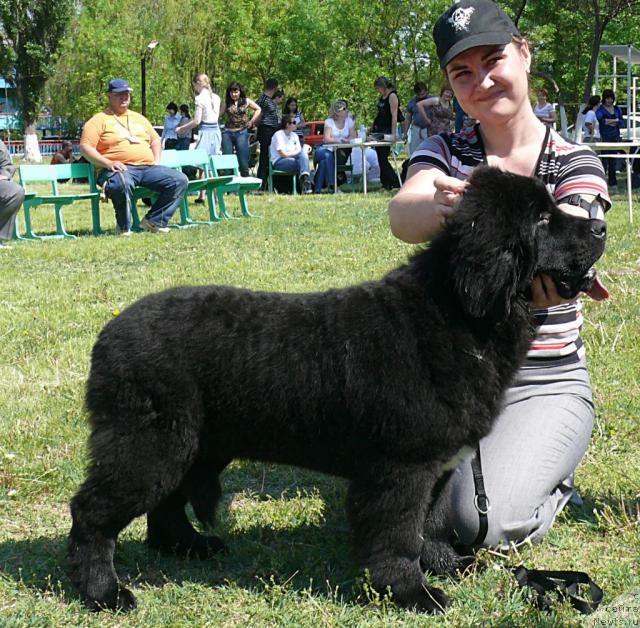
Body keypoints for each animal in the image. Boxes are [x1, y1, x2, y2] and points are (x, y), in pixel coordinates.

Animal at [67, 167, 608, 612]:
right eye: (543, 219)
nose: (601, 227)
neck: (457, 317)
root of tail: (109, 332)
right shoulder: (401, 467)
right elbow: (399, 536)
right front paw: (413, 593)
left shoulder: (438, 464)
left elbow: (429, 524)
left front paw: (447, 566)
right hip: (148, 445)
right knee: (92, 512)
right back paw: (103, 593)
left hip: (193, 446)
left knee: (166, 504)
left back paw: (187, 547)